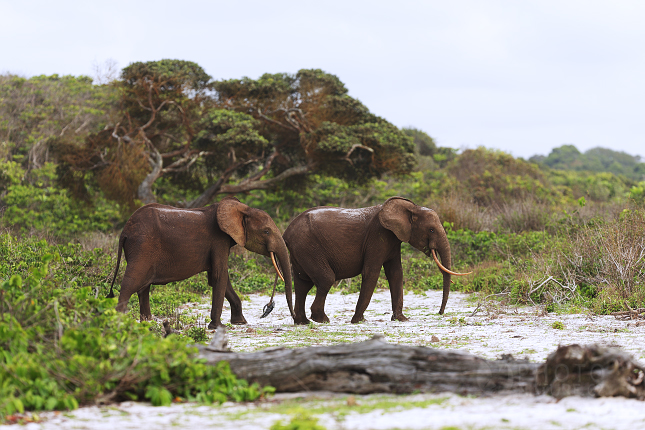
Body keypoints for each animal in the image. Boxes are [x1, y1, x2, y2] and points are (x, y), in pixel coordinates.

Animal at [107, 197, 294, 328]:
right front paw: (218, 327)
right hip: (142, 246)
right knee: (131, 283)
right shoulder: (219, 240)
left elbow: (219, 278)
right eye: (266, 231)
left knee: (143, 288)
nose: (267, 309)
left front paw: (240, 322)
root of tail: (125, 230)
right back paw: (119, 323)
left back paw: (148, 323)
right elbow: (219, 276)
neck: (242, 209)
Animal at [276, 197, 468, 324]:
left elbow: (396, 274)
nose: (440, 313)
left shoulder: (393, 239)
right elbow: (371, 272)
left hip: (301, 250)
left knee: (302, 282)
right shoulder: (378, 236)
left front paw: (401, 319)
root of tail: (286, 232)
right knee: (325, 279)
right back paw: (321, 319)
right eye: (431, 230)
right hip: (308, 247)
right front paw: (357, 321)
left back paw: (303, 322)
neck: (411, 207)